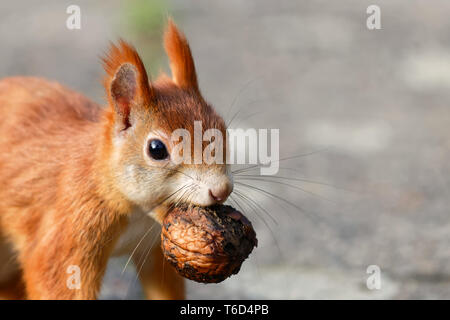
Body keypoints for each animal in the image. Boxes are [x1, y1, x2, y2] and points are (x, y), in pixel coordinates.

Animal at [0, 20, 232, 300]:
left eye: (222, 129)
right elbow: (56, 280)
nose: (222, 190)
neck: (138, 214)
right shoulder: (70, 229)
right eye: (157, 149)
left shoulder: (155, 247)